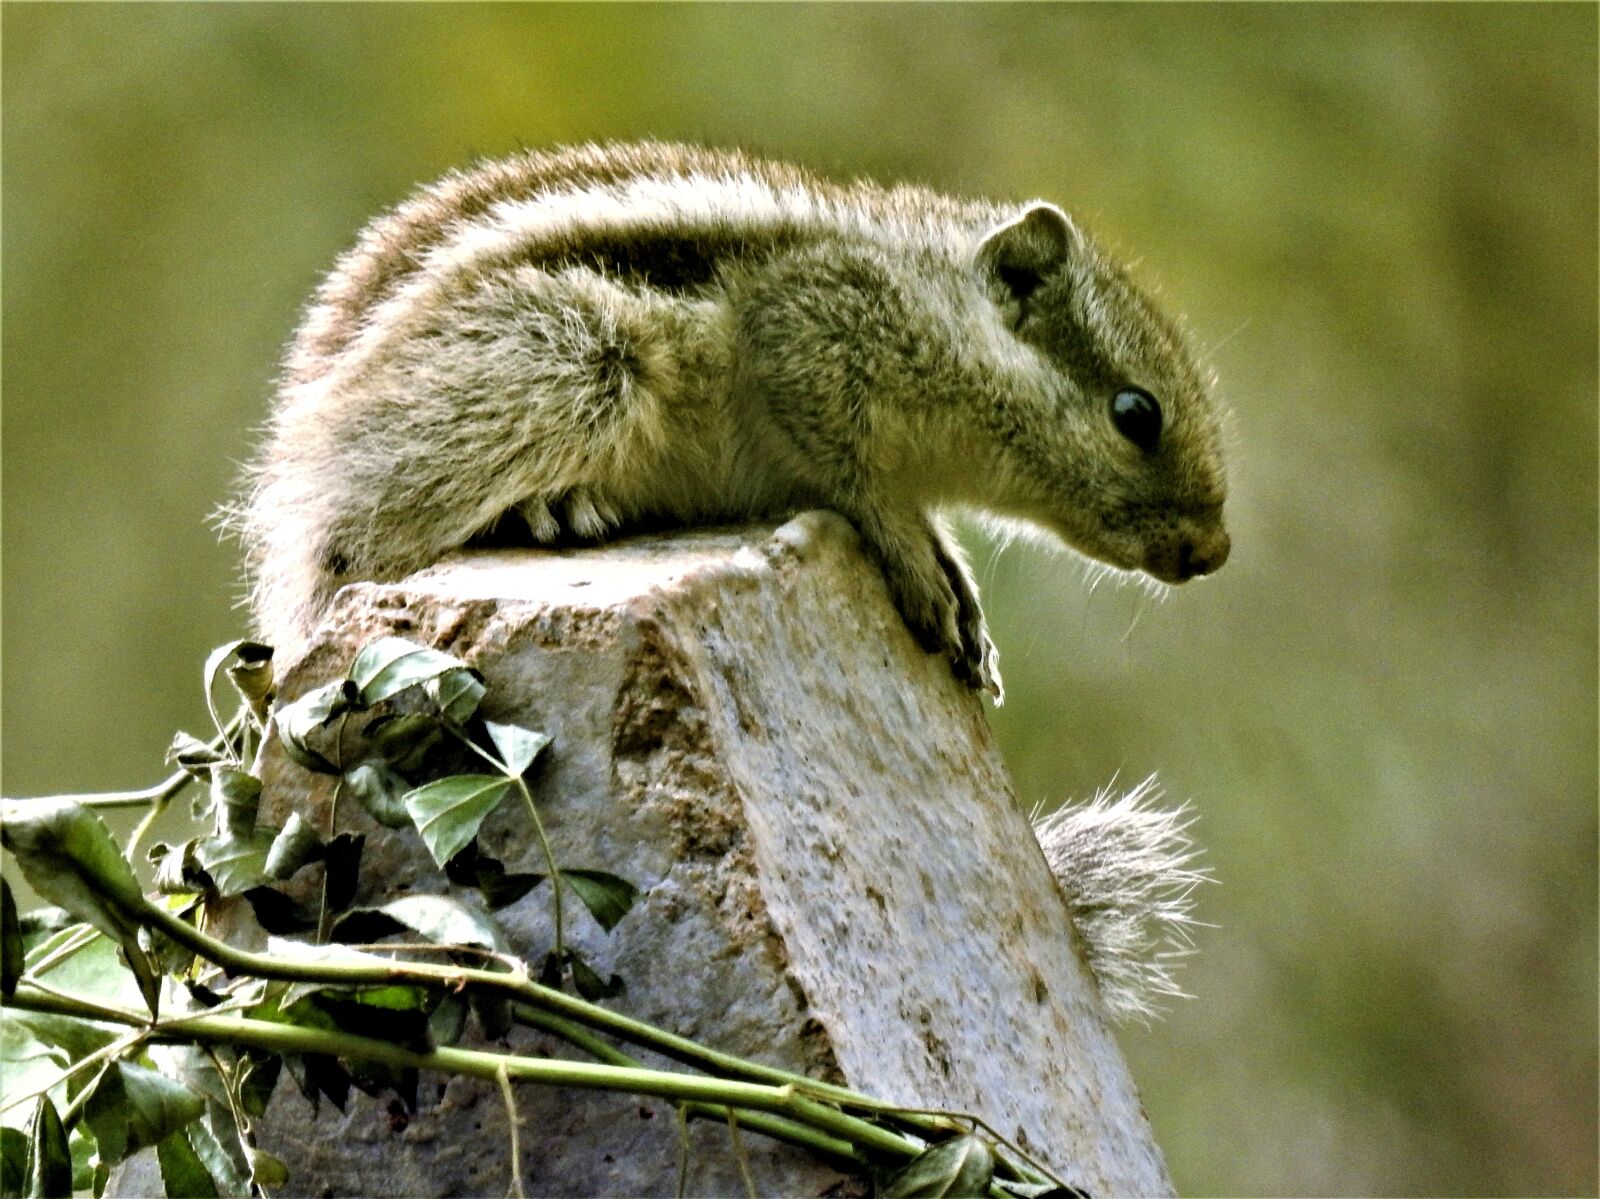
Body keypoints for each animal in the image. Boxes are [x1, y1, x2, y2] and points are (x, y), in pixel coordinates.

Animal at [229, 143, 1226, 1019]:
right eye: (1136, 413)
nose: (1212, 551)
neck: (929, 295)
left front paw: (957, 581)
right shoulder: (812, 339)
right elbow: (857, 479)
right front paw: (915, 563)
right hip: (566, 357)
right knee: (384, 530)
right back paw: (549, 508)